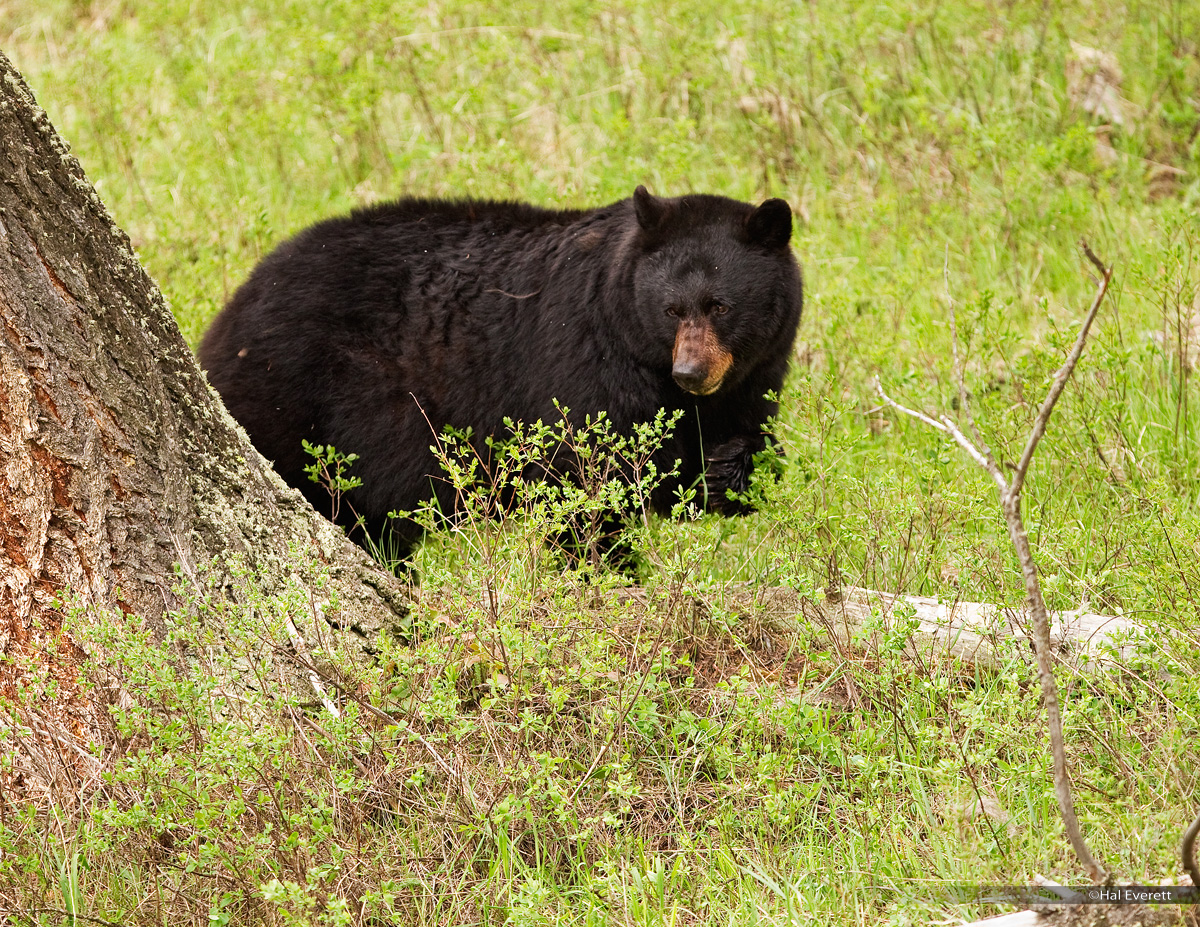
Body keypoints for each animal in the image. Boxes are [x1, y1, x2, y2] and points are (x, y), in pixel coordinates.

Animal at [199, 186, 806, 557]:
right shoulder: (587, 364)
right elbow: (585, 481)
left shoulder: (756, 374)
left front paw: (729, 468)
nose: (691, 371)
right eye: (672, 309)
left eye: (720, 305)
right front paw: (608, 566)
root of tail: (226, 319)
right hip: (302, 398)